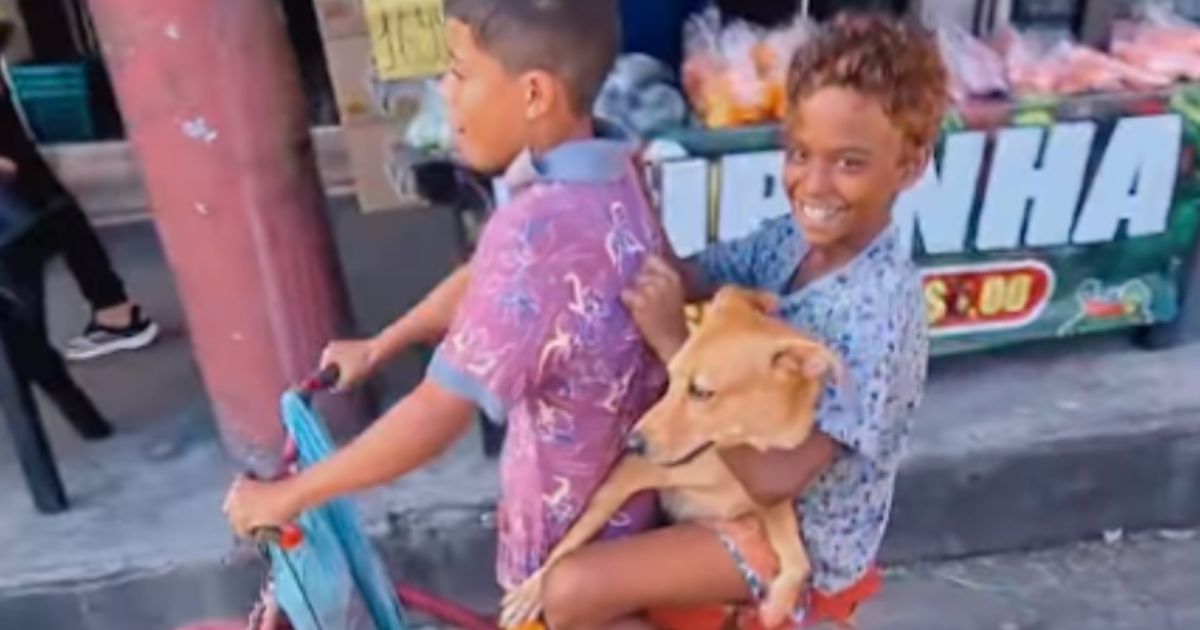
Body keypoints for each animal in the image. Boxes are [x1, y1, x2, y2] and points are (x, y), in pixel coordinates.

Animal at [501, 285, 840, 628]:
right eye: (671, 376)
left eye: (701, 392)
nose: (632, 442)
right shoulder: (629, 472)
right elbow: (575, 535)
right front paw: (532, 588)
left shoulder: (771, 495)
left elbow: (799, 558)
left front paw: (779, 604)